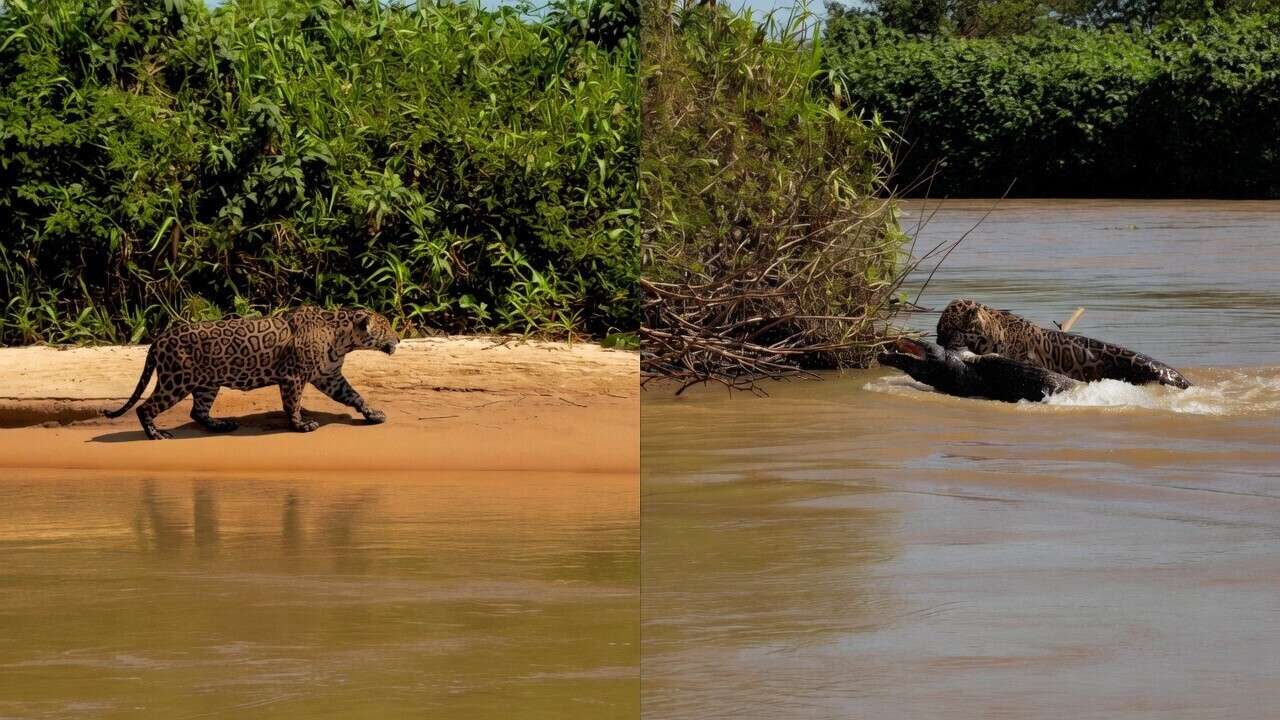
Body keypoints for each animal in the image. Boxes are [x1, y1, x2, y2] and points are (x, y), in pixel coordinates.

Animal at [103, 307, 399, 439]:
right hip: (176, 381)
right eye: (386, 328)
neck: (342, 338)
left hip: (207, 383)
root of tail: (160, 338)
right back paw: (156, 435)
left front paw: (373, 414)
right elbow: (293, 404)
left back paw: (221, 425)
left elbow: (355, 395)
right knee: (145, 407)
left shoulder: (330, 377)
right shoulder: (293, 377)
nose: (398, 338)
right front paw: (301, 425)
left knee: (197, 411)